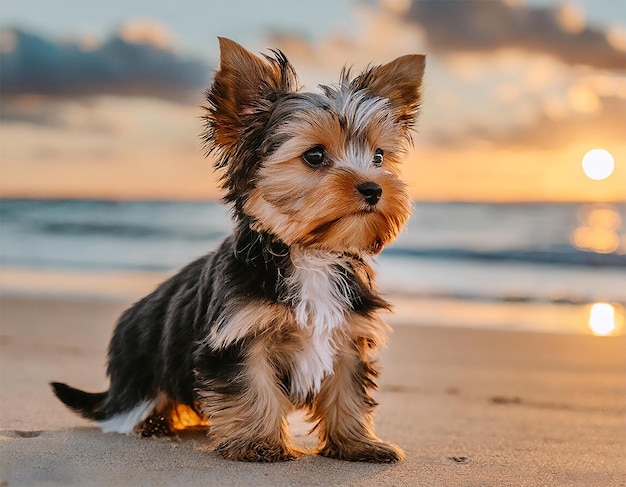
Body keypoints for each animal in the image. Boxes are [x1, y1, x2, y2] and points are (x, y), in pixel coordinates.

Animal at [52, 38, 424, 466]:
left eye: (378, 157)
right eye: (314, 156)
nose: (374, 188)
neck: (309, 253)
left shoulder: (348, 332)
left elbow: (348, 389)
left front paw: (357, 442)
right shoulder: (238, 335)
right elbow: (251, 385)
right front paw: (259, 443)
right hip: (139, 367)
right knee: (132, 408)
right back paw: (154, 422)